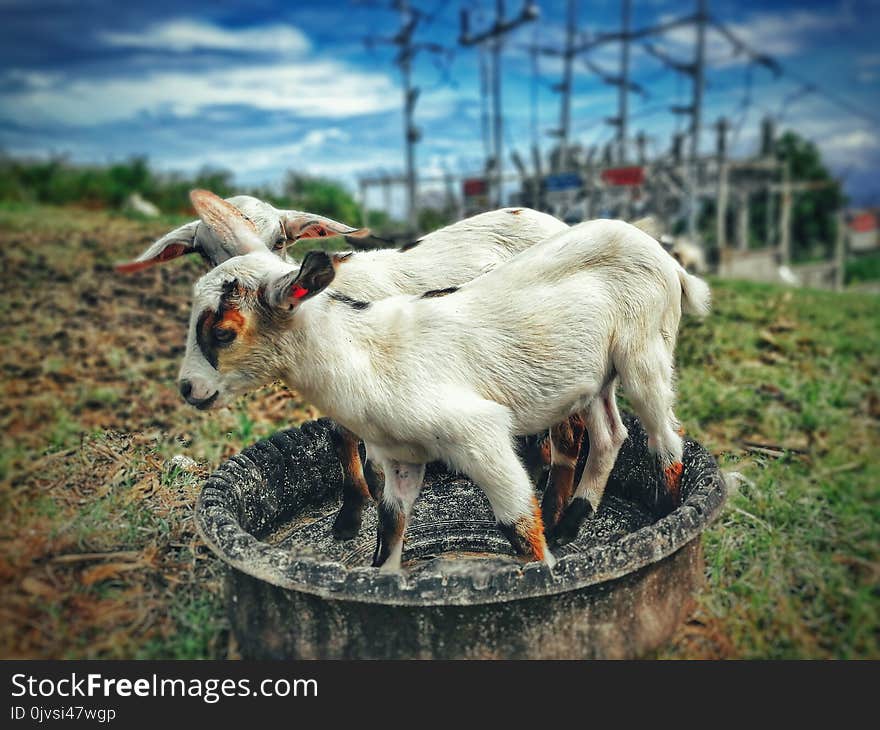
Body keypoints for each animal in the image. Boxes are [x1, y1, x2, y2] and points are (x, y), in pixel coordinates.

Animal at [177, 191, 708, 572]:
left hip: (645, 352)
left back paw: (663, 519)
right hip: (592, 376)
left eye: (223, 332)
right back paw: (574, 521)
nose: (189, 389)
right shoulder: (400, 458)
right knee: (609, 434)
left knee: (665, 439)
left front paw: (545, 575)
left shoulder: (481, 437)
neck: (364, 354)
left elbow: (521, 528)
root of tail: (664, 257)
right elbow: (390, 527)